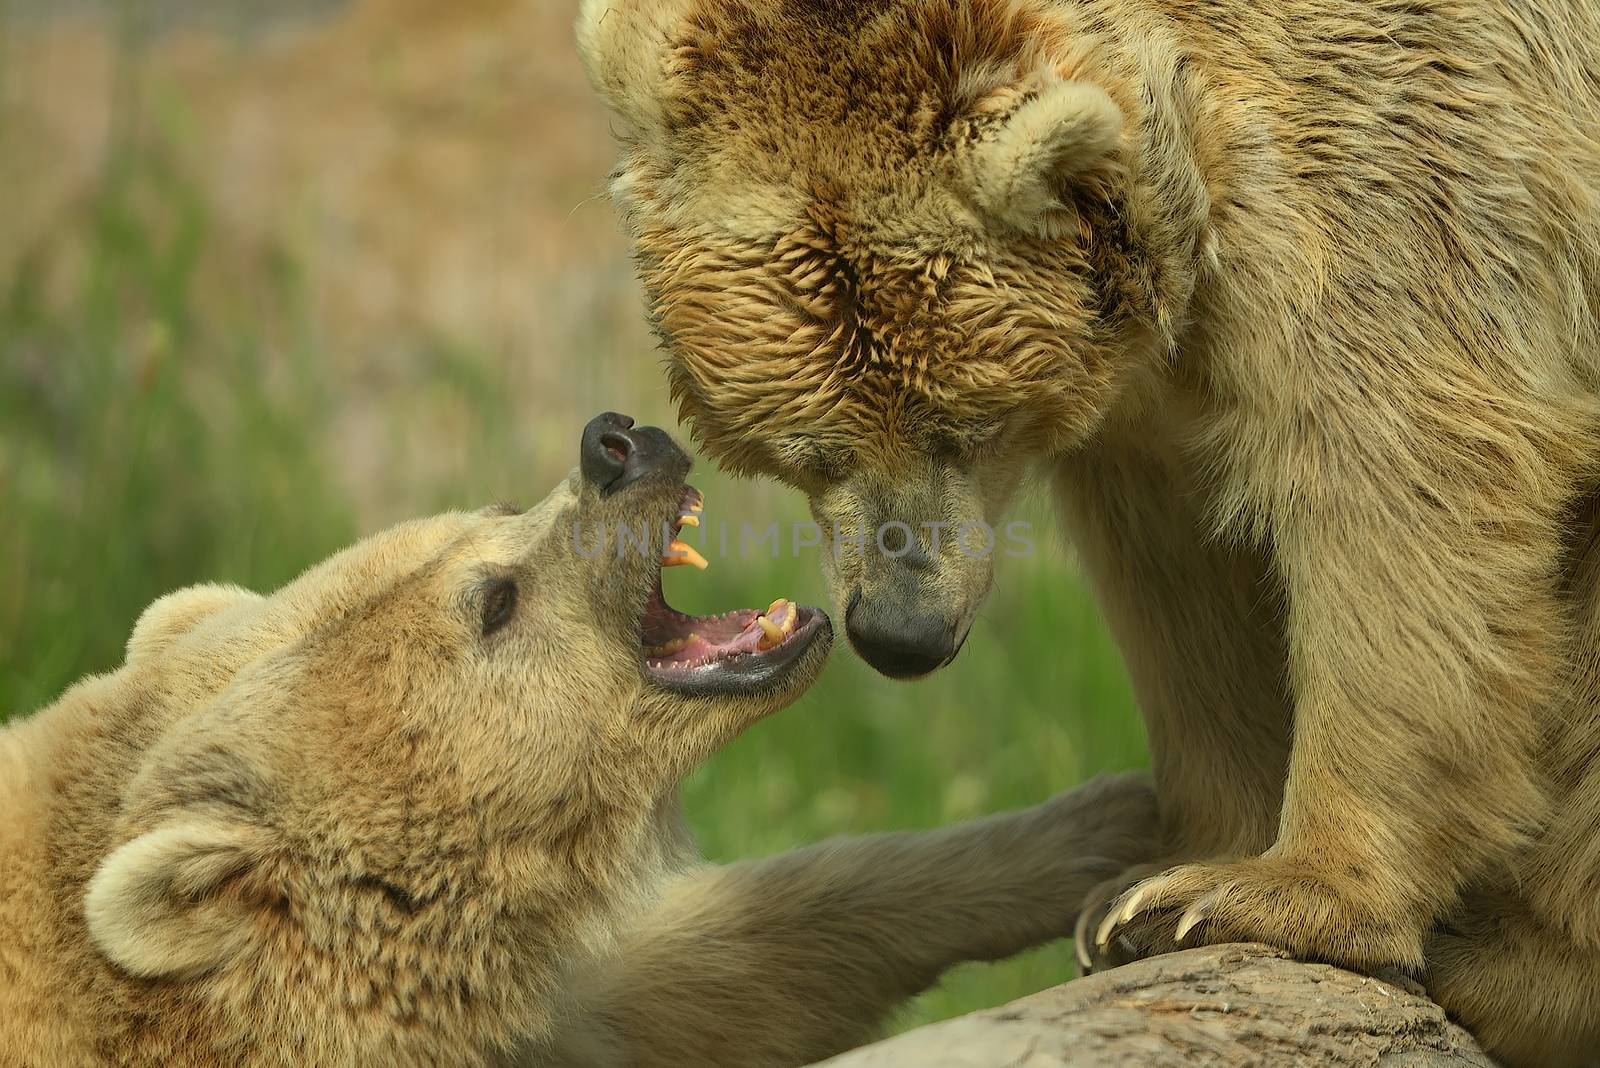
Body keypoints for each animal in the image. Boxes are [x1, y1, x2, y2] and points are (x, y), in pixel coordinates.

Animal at [576, 0, 1600, 1061]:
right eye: (810, 451)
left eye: (970, 426)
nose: (902, 633)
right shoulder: (1155, 413)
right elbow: (1186, 591)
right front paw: (1157, 881)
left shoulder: (1410, 177)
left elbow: (1408, 485)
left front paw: (1261, 892)